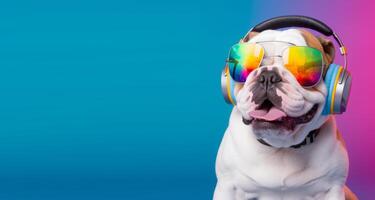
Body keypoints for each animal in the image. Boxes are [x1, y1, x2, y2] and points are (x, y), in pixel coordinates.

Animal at [214, 28, 358, 200]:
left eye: (302, 68)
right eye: (248, 66)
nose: (268, 76)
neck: (281, 146)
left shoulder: (333, 189)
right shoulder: (227, 187)